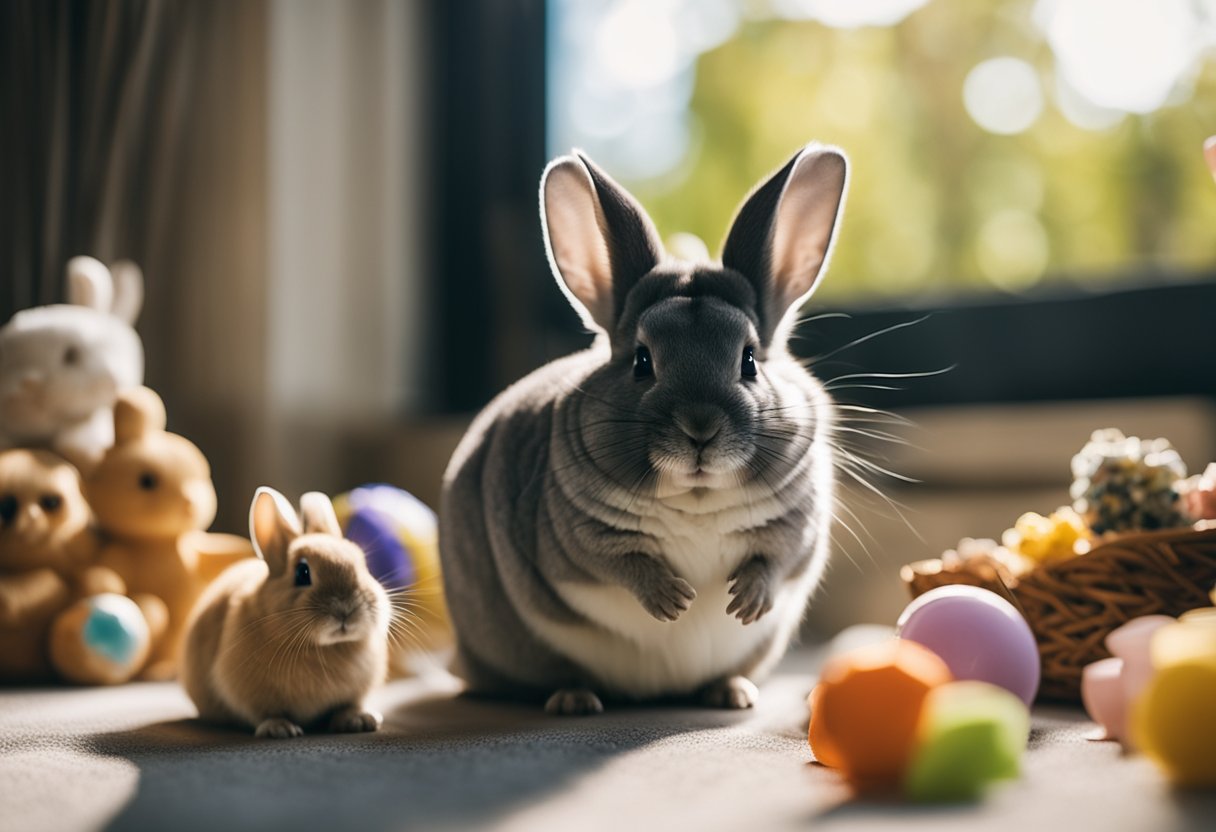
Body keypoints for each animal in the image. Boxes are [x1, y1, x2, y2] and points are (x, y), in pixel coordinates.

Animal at [179, 484, 386, 739]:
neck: (322, 648)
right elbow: (266, 712)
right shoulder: (247, 691)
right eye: (302, 573)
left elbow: (349, 705)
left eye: (362, 565)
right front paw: (279, 729)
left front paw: (359, 720)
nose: (345, 609)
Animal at [442, 142, 851, 715]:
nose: (700, 428)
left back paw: (732, 692)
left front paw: (745, 603)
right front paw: (674, 600)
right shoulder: (579, 538)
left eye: (749, 360)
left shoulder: (799, 525)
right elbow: (621, 562)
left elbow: (775, 558)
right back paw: (574, 699)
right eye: (641, 361)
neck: (698, 497)